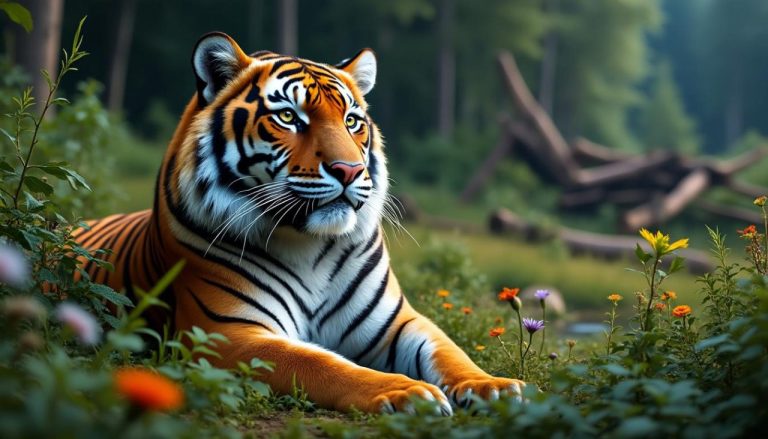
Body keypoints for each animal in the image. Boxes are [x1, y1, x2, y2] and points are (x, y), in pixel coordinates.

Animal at [73, 32, 525, 414]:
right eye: (289, 117)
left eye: (352, 121)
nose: (349, 170)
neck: (311, 245)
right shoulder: (227, 333)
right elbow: (321, 363)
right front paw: (406, 391)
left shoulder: (397, 322)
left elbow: (448, 350)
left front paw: (494, 386)